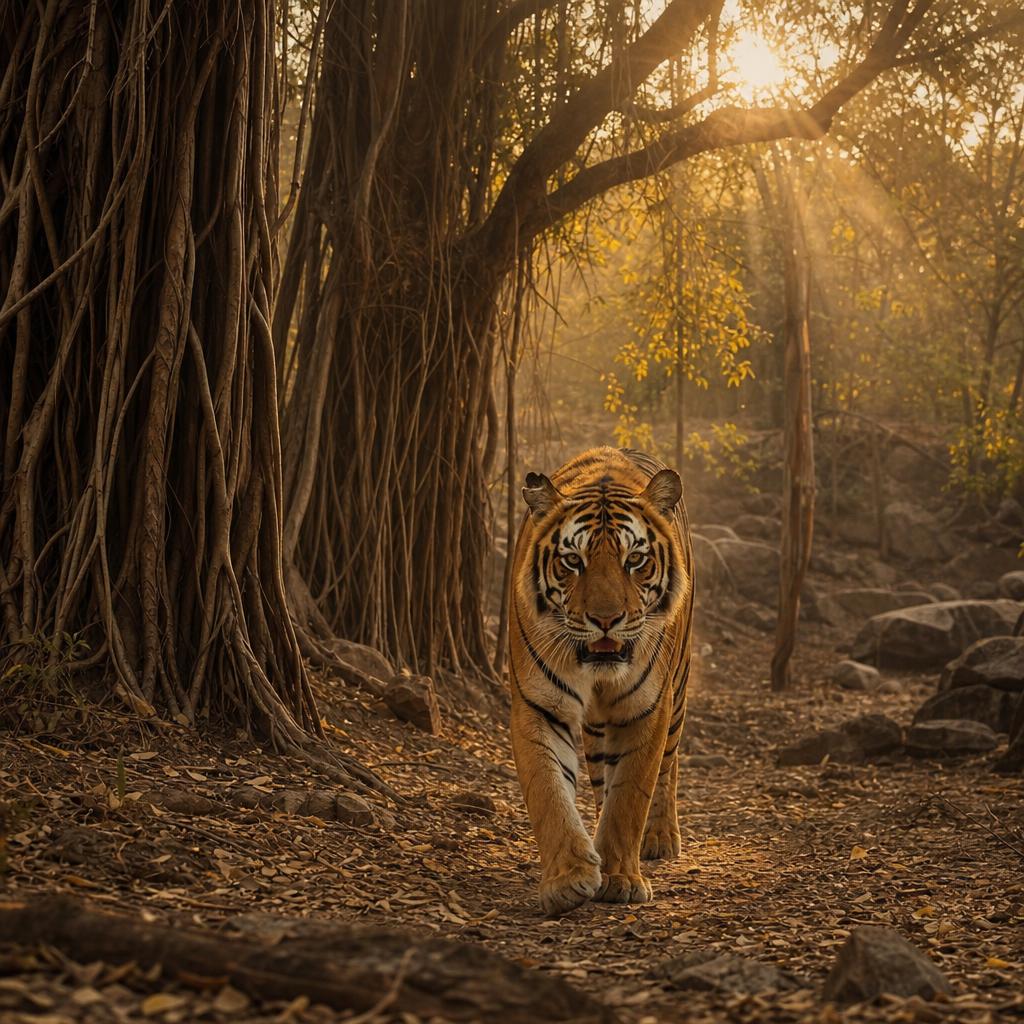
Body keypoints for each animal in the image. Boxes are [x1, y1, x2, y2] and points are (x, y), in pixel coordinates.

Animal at [508, 446, 694, 916]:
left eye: (635, 560)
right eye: (573, 561)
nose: (606, 620)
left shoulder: (648, 707)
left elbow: (631, 795)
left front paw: (620, 878)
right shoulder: (537, 704)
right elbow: (549, 791)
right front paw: (568, 879)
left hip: (679, 690)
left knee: (669, 765)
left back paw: (660, 838)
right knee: (597, 777)